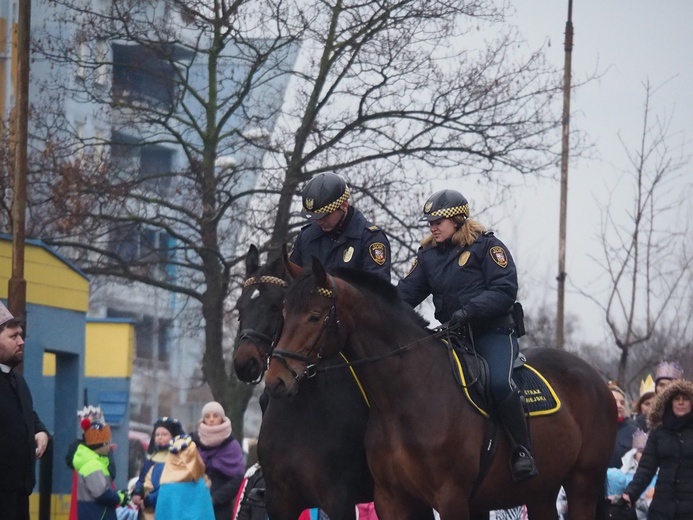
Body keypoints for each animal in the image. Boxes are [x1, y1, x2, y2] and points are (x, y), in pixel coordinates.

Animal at [264, 262, 616, 520]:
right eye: (283, 313)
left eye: (314, 316)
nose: (276, 379)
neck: (407, 397)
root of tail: (597, 378)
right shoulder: (392, 499)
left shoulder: (450, 499)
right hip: (541, 492)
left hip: (582, 485)